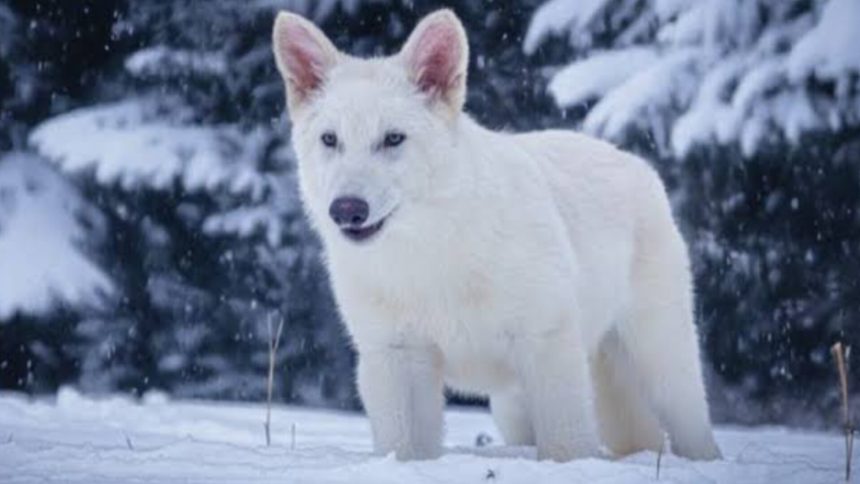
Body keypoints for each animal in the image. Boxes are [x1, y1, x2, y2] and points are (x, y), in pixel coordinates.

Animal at [272, 9, 721, 462]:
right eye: (330, 140)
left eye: (393, 138)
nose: (347, 210)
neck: (429, 257)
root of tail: (635, 162)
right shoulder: (396, 358)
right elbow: (406, 451)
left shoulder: (546, 342)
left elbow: (566, 445)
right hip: (520, 404)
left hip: (662, 361)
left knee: (694, 428)